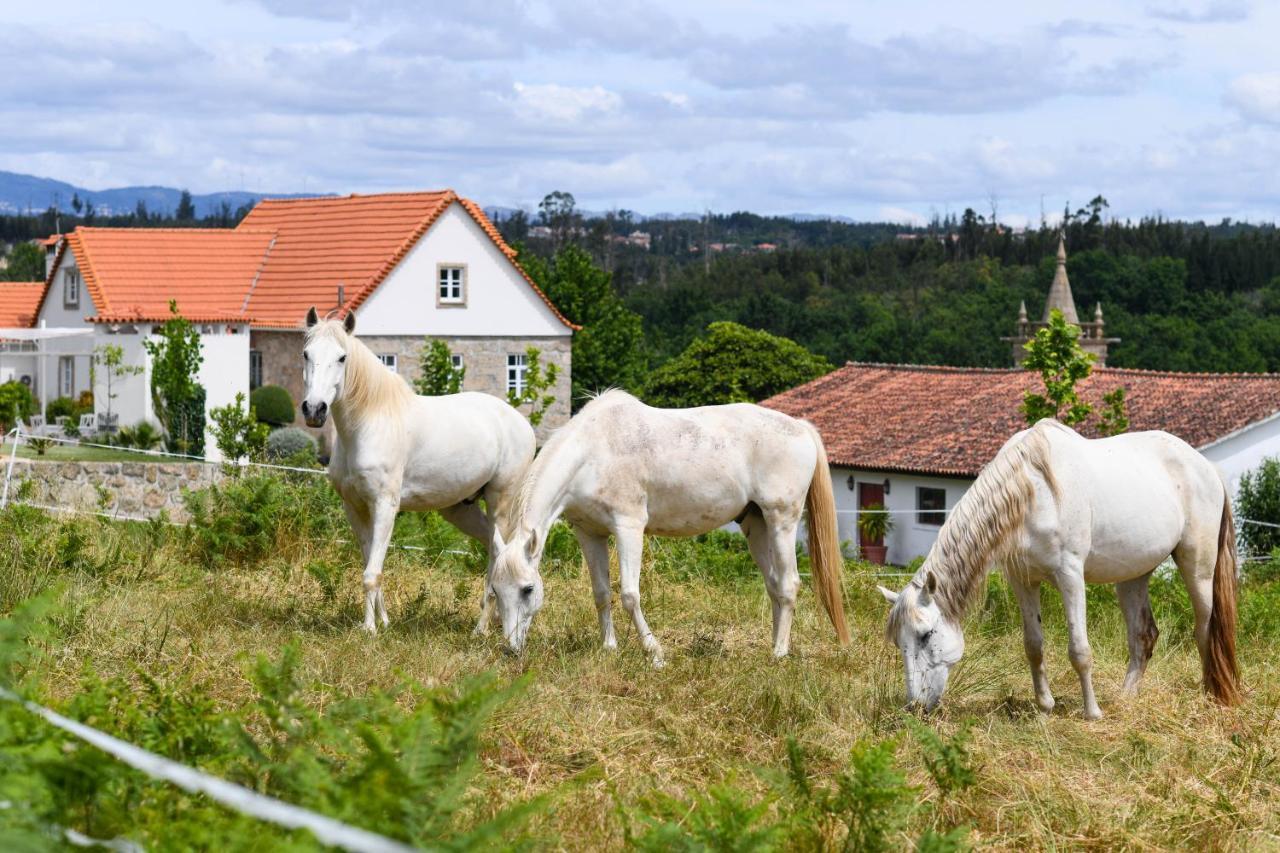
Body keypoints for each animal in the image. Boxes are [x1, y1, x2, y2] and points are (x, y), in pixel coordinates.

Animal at [299, 307, 535, 630]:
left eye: (342, 357)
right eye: (306, 353)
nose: (314, 410)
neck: (369, 422)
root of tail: (522, 424)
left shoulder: (385, 506)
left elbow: (371, 573)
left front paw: (369, 629)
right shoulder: (355, 507)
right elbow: (370, 562)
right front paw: (384, 622)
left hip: (501, 502)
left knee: (500, 552)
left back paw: (481, 629)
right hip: (461, 510)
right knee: (493, 548)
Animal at [483, 389, 844, 660]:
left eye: (528, 589)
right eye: (496, 590)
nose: (510, 649)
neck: (593, 452)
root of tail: (801, 428)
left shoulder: (629, 527)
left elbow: (629, 594)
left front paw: (654, 652)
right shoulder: (589, 533)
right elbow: (601, 592)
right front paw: (609, 648)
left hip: (781, 520)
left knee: (789, 584)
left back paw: (779, 654)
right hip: (756, 525)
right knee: (774, 585)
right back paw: (772, 646)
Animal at [880, 417, 1239, 717]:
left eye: (926, 635)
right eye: (899, 642)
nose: (914, 706)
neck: (1033, 493)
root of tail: (1206, 466)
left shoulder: (1070, 576)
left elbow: (1079, 650)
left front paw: (1092, 713)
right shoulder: (1022, 580)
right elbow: (1033, 645)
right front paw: (1045, 704)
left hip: (1198, 567)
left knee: (1205, 630)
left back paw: (1212, 697)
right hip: (1133, 575)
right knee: (1143, 635)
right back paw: (1125, 698)